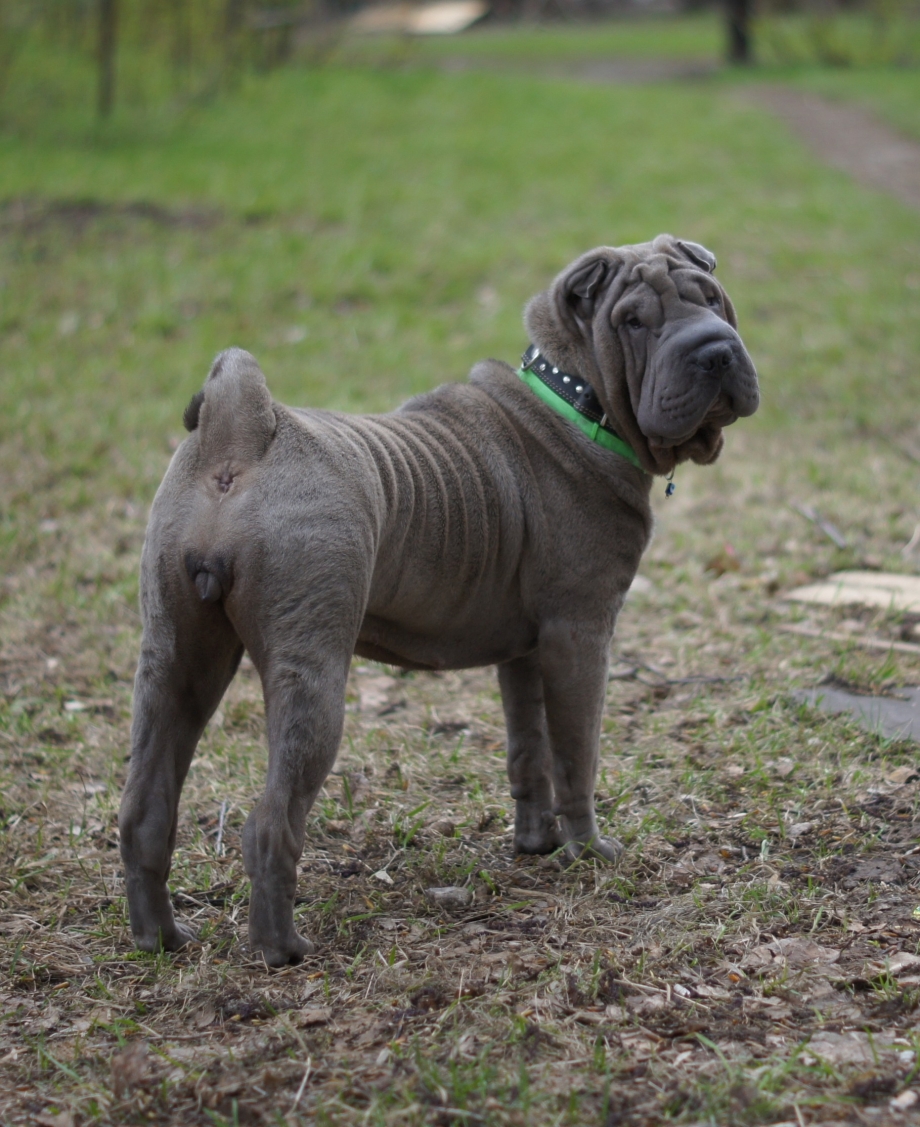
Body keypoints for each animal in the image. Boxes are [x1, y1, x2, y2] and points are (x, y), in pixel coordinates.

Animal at [118, 233, 757, 964]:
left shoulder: (525, 652)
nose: (716, 349)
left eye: (711, 297)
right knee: (270, 822)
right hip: (310, 672)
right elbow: (576, 756)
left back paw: (159, 937)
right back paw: (283, 948)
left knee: (144, 811)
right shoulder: (581, 633)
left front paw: (535, 843)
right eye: (633, 321)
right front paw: (588, 851)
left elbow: (529, 748)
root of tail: (242, 433)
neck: (574, 398)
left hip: (178, 657)